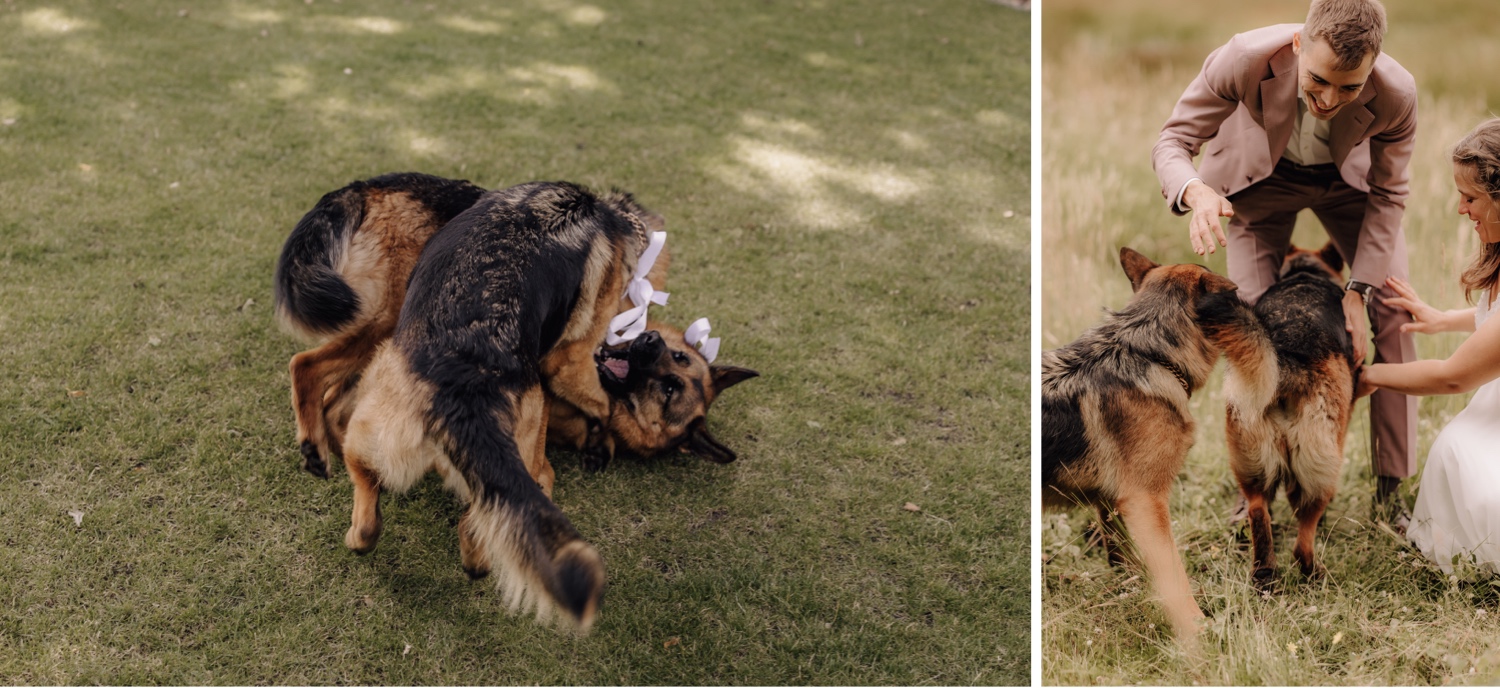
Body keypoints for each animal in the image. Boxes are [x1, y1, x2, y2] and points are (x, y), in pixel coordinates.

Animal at [1038, 248, 1260, 650]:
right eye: (1235, 299)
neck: (1151, 353)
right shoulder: (1146, 503)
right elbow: (1174, 577)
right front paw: (1197, 635)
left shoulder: (1113, 504)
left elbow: (1132, 563)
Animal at [1218, 242, 1362, 587]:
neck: (1304, 273)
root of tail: (1286, 359)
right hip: (1321, 468)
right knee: (1302, 539)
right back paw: (1314, 573)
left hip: (1251, 462)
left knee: (1258, 511)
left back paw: (1264, 574)